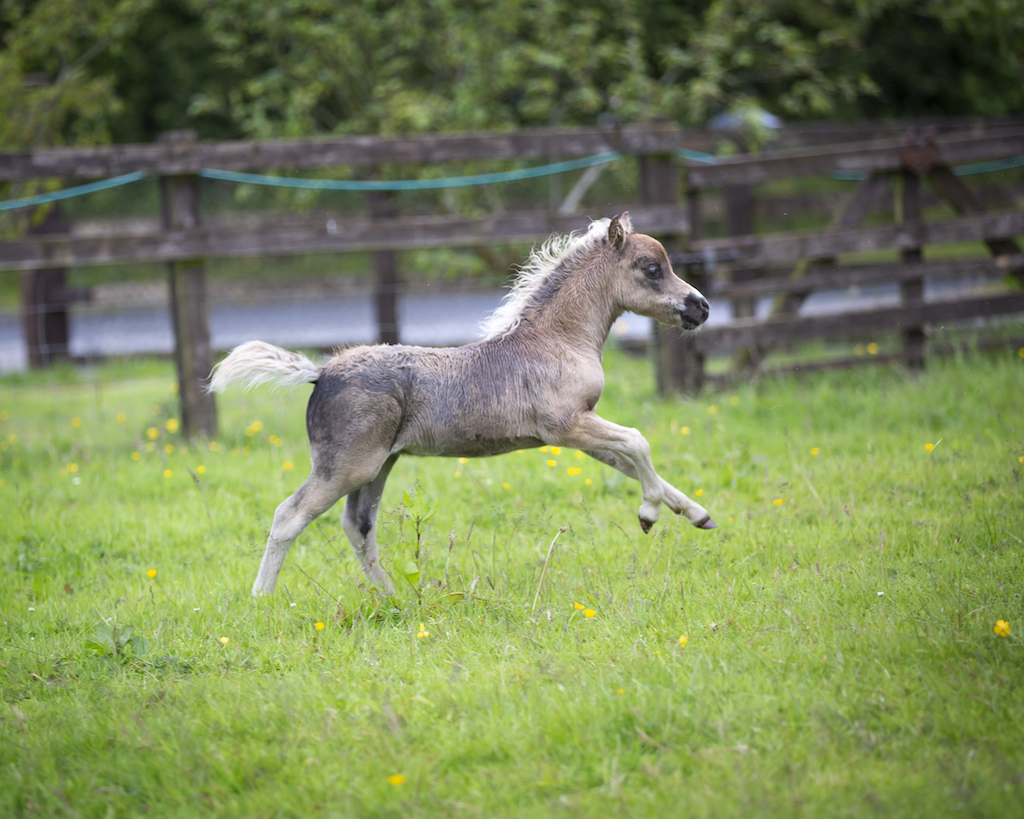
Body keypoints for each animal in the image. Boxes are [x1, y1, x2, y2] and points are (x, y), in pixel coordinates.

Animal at [208, 213, 716, 597]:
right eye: (651, 268)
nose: (702, 307)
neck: (557, 340)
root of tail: (321, 371)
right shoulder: (567, 427)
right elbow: (638, 442)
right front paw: (648, 516)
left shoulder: (582, 433)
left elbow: (634, 461)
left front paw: (697, 514)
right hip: (347, 466)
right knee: (289, 516)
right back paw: (261, 599)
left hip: (377, 465)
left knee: (358, 526)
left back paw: (392, 598)